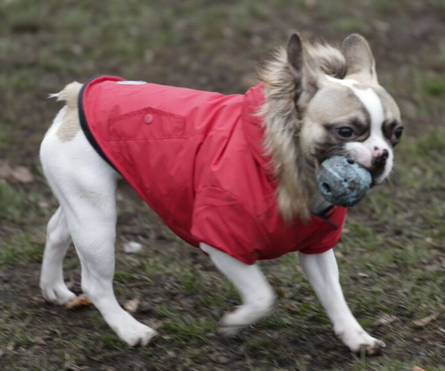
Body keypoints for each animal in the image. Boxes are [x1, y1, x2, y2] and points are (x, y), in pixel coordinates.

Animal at [40, 32, 402, 354]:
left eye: (396, 132)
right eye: (345, 131)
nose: (381, 155)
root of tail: (76, 95)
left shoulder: (316, 249)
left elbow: (333, 294)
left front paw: (356, 336)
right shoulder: (222, 244)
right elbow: (263, 296)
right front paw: (235, 322)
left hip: (85, 198)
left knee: (57, 230)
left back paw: (54, 289)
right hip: (97, 219)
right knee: (96, 282)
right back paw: (131, 330)